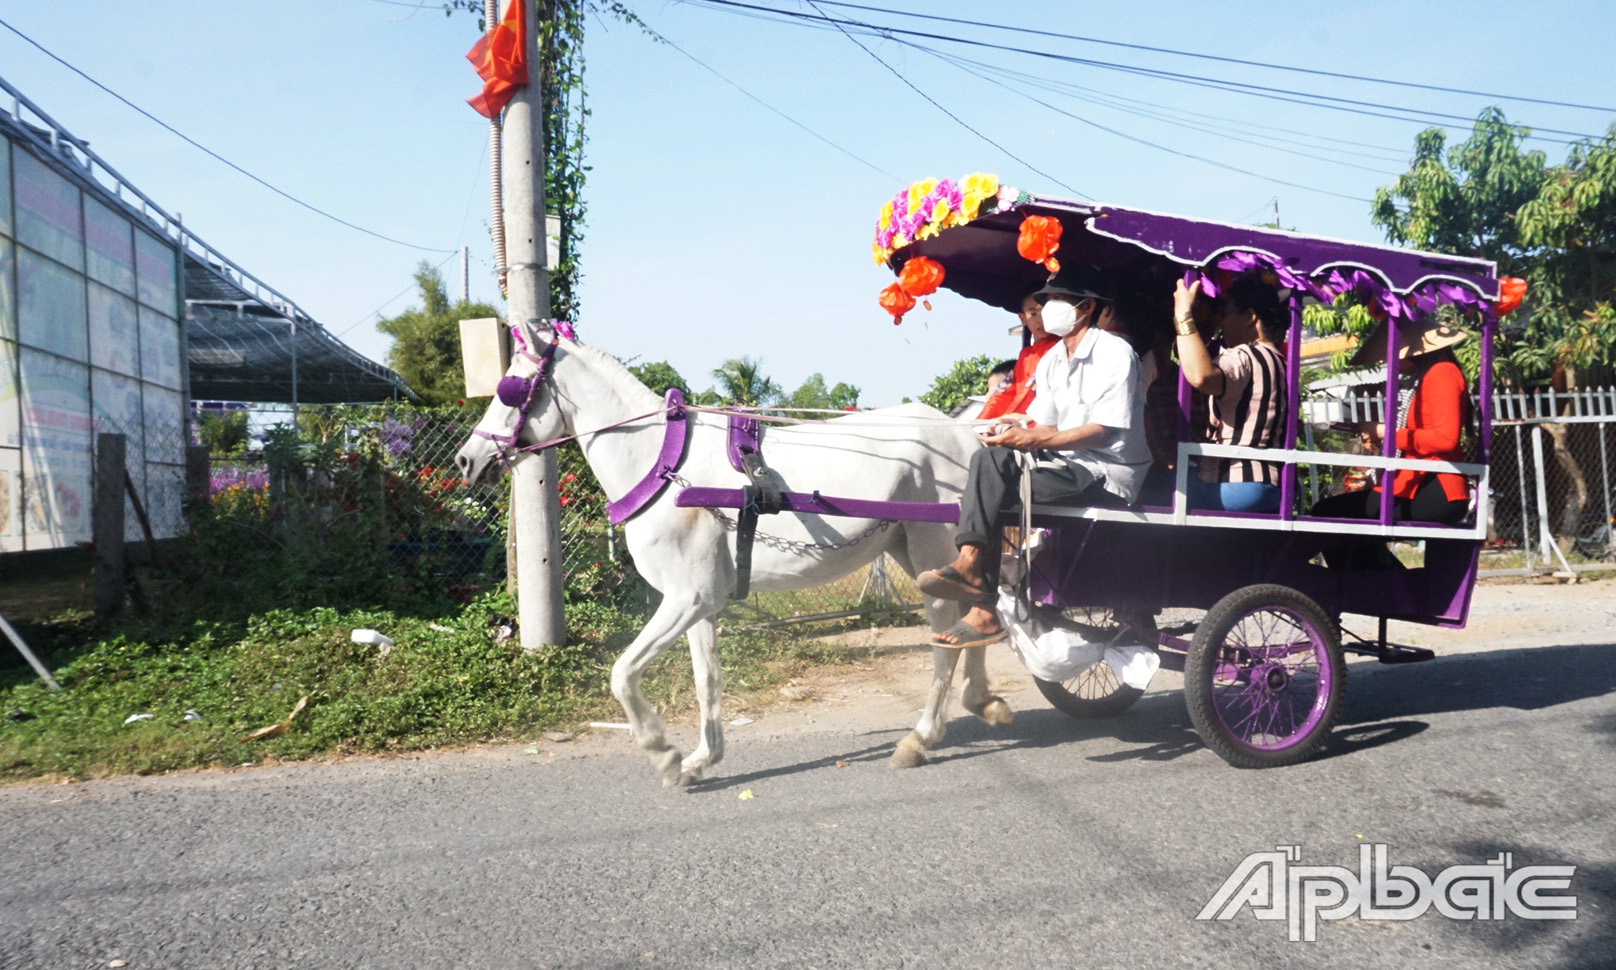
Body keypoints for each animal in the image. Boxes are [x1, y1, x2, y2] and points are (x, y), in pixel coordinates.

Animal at [455, 321, 1008, 785]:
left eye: (511, 387)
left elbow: (623, 673)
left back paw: (922, 735)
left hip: (932, 546)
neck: (662, 465)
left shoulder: (688, 598)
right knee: (972, 608)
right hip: (914, 551)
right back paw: (983, 701)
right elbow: (707, 680)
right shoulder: (701, 601)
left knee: (945, 633)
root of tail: (965, 434)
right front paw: (701, 760)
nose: (465, 459)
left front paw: (662, 751)